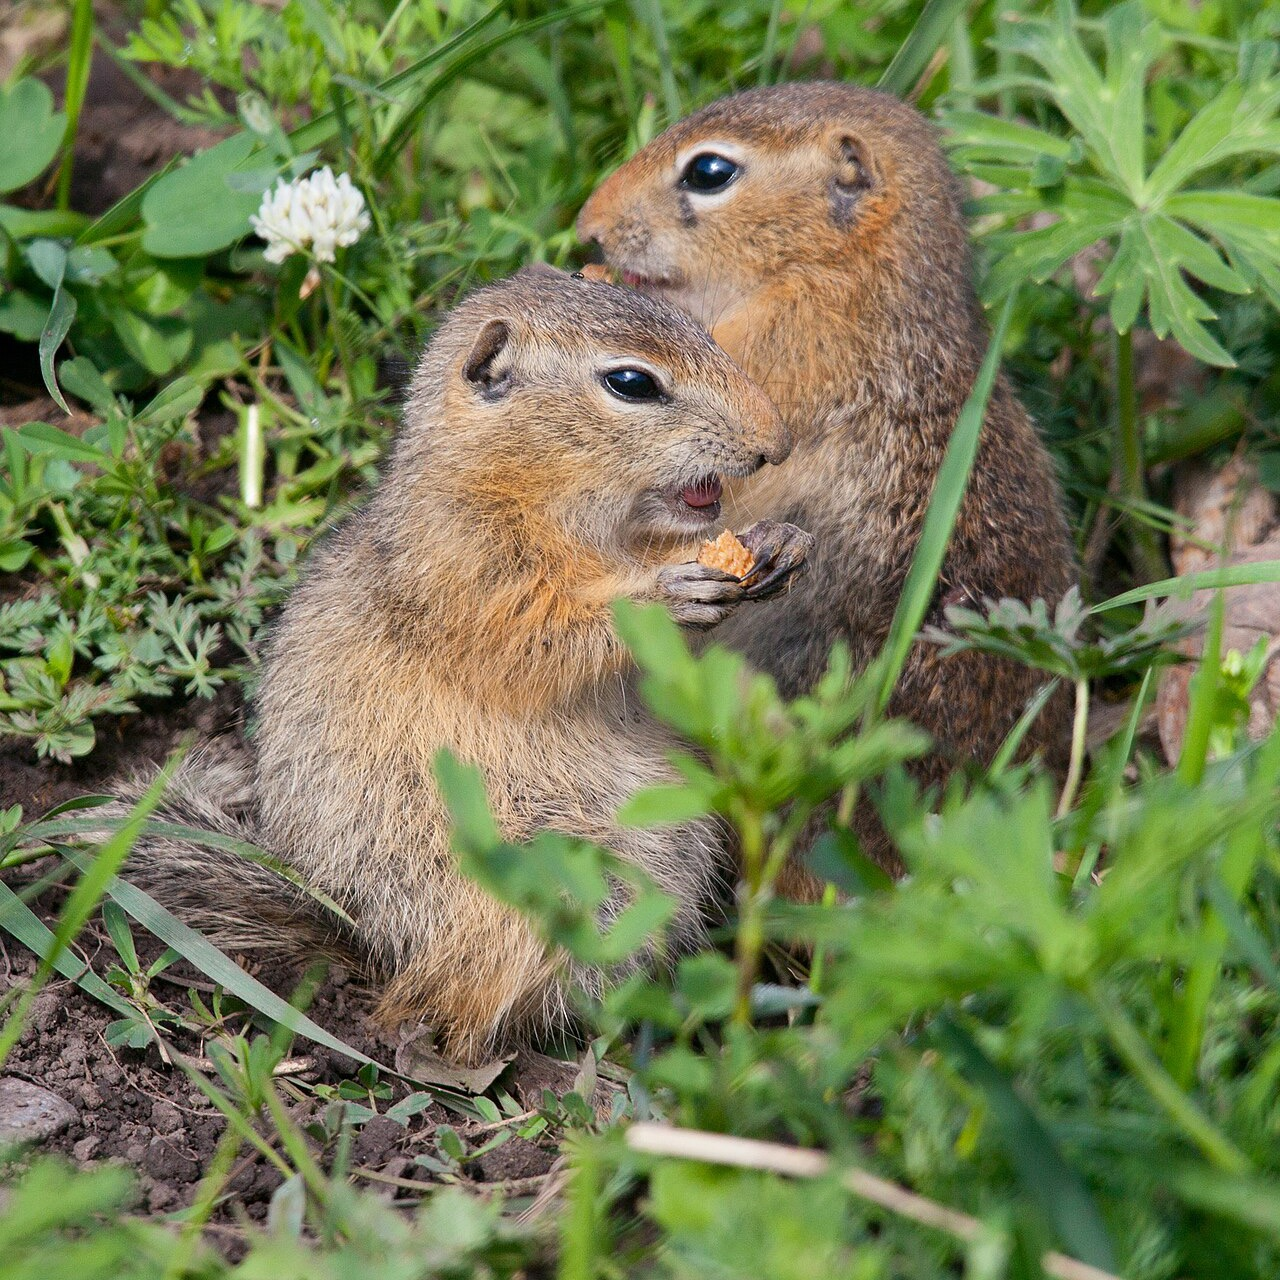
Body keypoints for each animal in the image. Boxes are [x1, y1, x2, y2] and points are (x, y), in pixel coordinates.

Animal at [123, 267, 812, 1063]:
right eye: (632, 382)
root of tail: (371, 940)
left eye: (698, 326)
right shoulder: (464, 568)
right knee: (455, 1002)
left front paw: (780, 542)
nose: (776, 442)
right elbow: (538, 638)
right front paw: (666, 592)